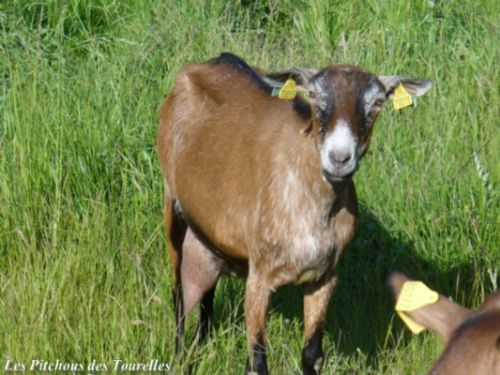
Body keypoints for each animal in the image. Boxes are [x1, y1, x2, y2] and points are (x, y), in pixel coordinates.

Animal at [158, 53, 432, 375]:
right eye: (313, 95)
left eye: (377, 102)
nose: (339, 158)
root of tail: (212, 61)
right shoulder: (260, 276)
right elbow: (258, 361)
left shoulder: (324, 276)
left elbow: (312, 354)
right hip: (171, 205)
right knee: (178, 294)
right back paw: (180, 355)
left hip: (210, 233)